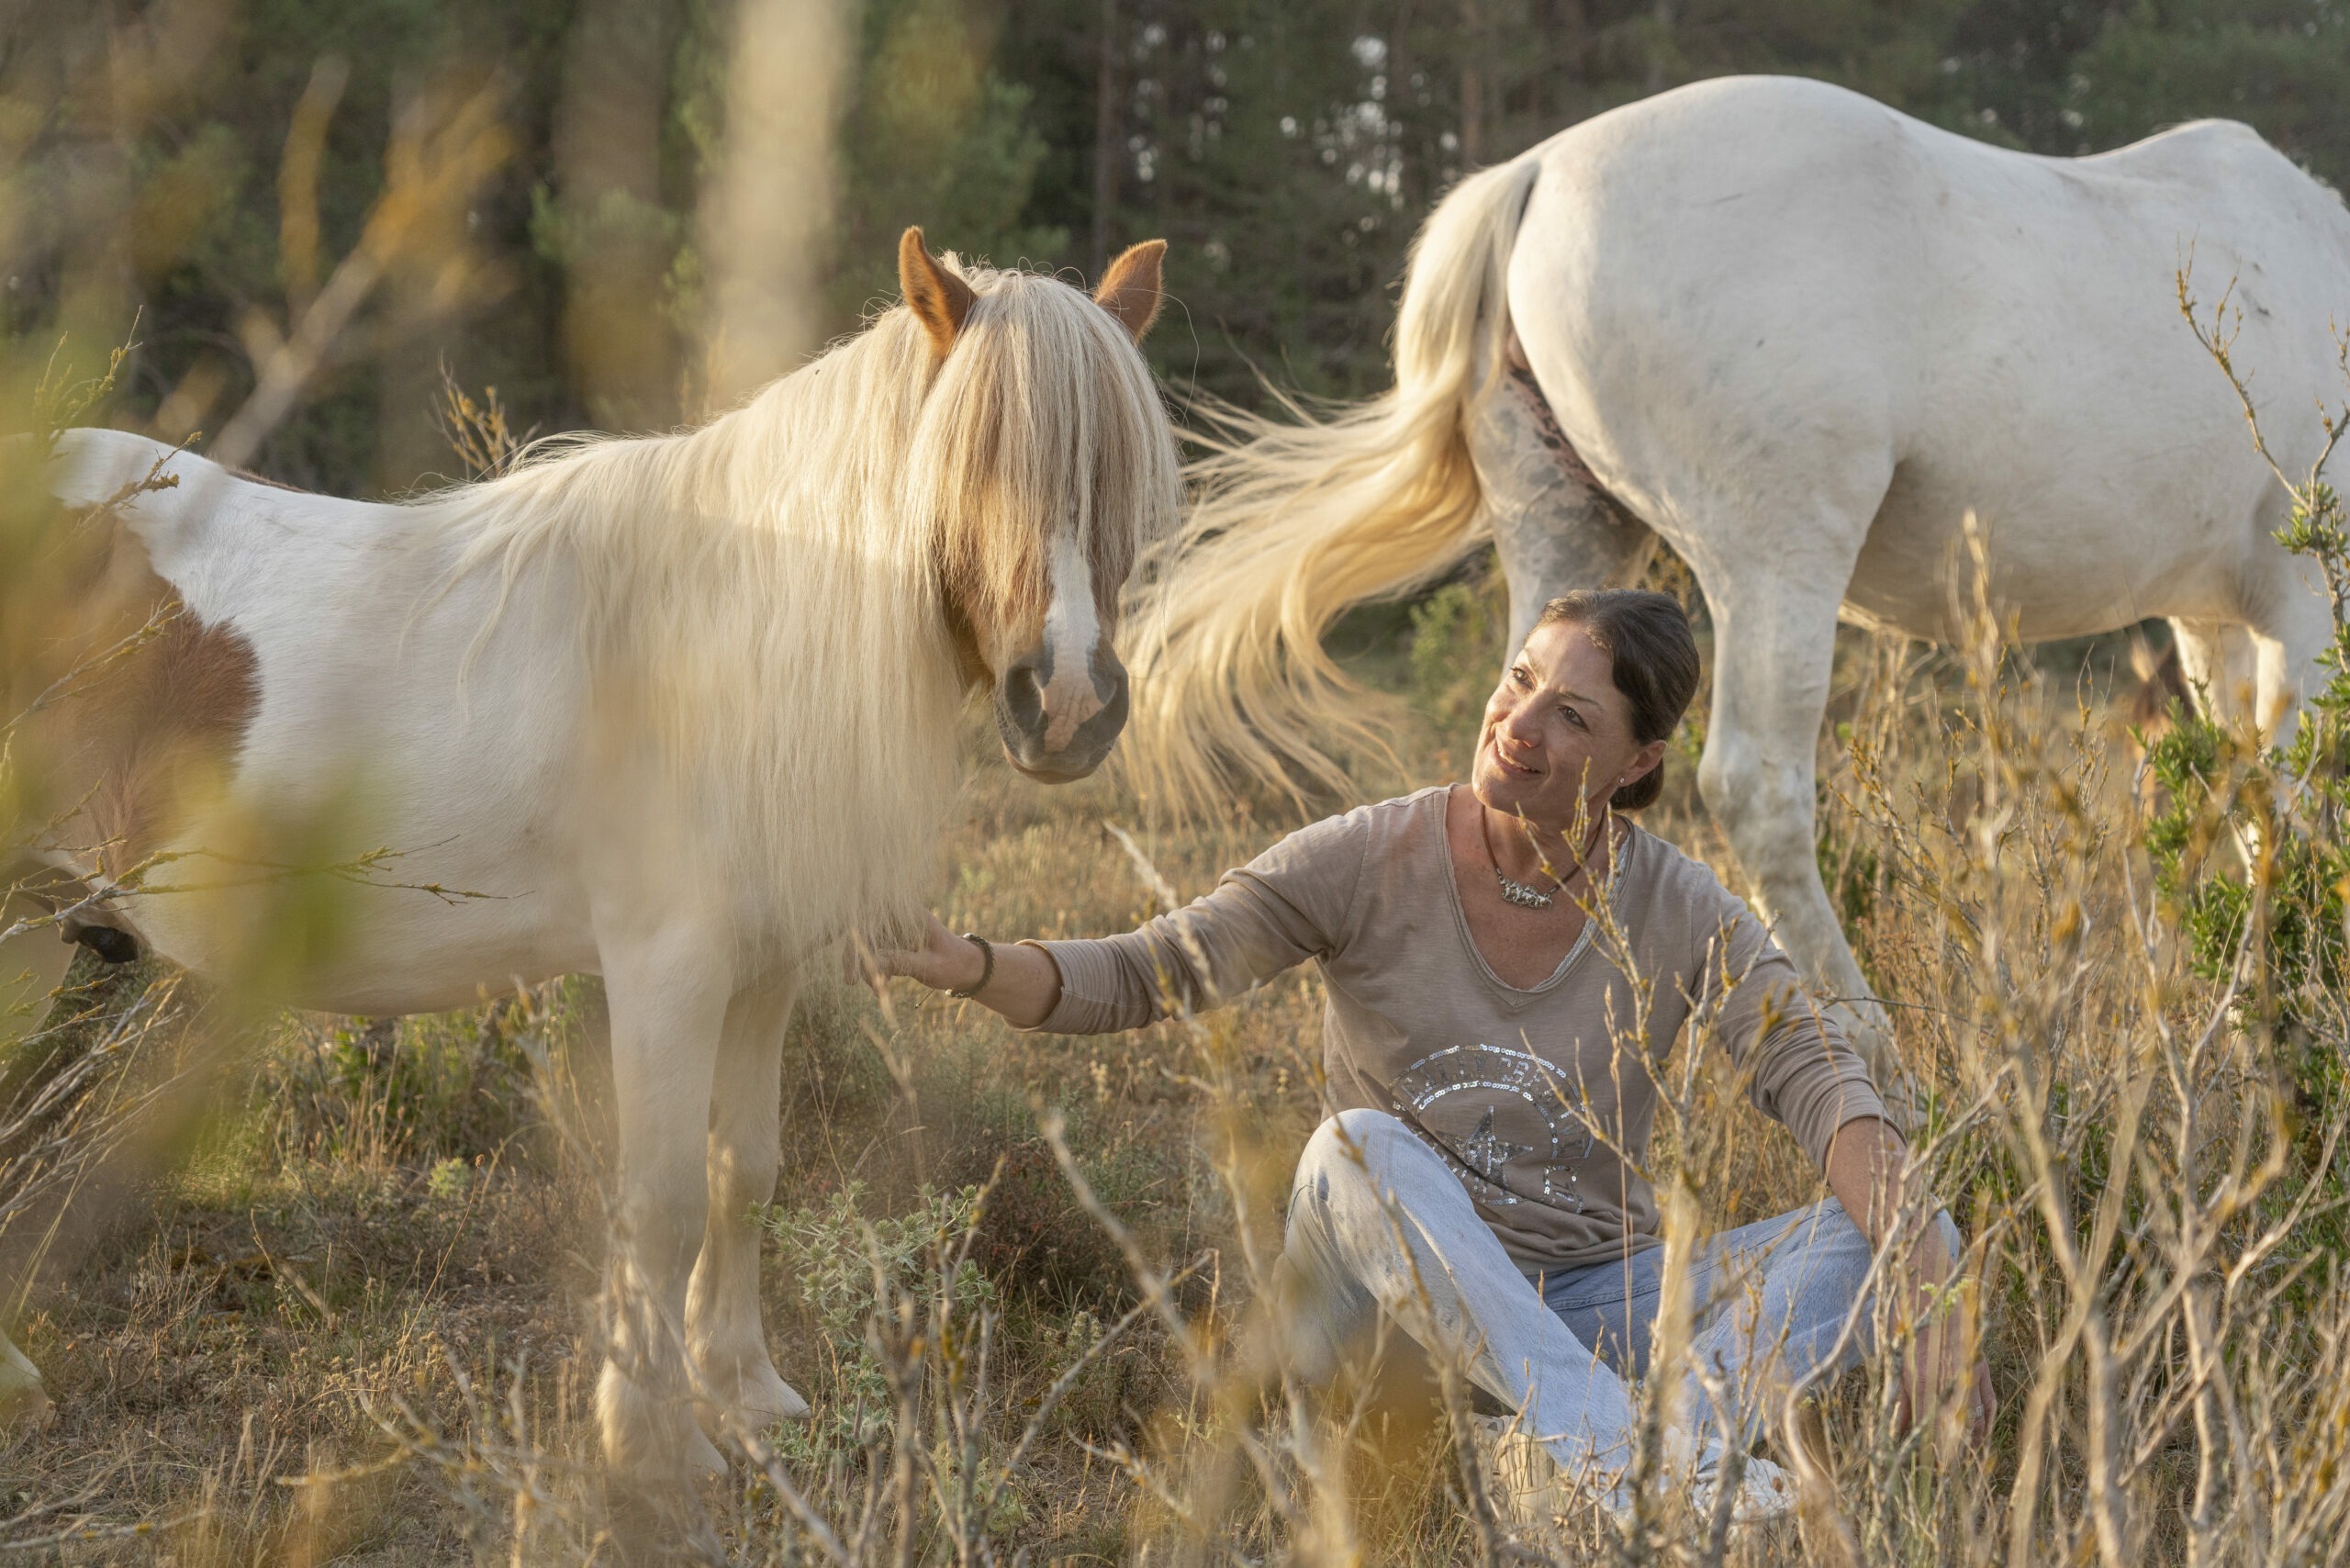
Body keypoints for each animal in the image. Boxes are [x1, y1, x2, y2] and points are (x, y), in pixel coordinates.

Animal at [0, 227, 1175, 1476]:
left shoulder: (761, 970)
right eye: (976, 464)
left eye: (1116, 478)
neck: (725, 641)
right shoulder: (667, 969)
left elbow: (743, 1170)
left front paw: (744, 1393)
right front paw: (652, 1445)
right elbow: (659, 1199)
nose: (1068, 707)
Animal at [1123, 76, 2350, 1104]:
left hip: (1563, 533)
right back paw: (1870, 1046)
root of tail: (1539, 172)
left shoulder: (2211, 624)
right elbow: (2290, 808)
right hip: (1775, 560)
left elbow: (2242, 796)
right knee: (1758, 787)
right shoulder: (2302, 609)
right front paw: (2280, 1026)